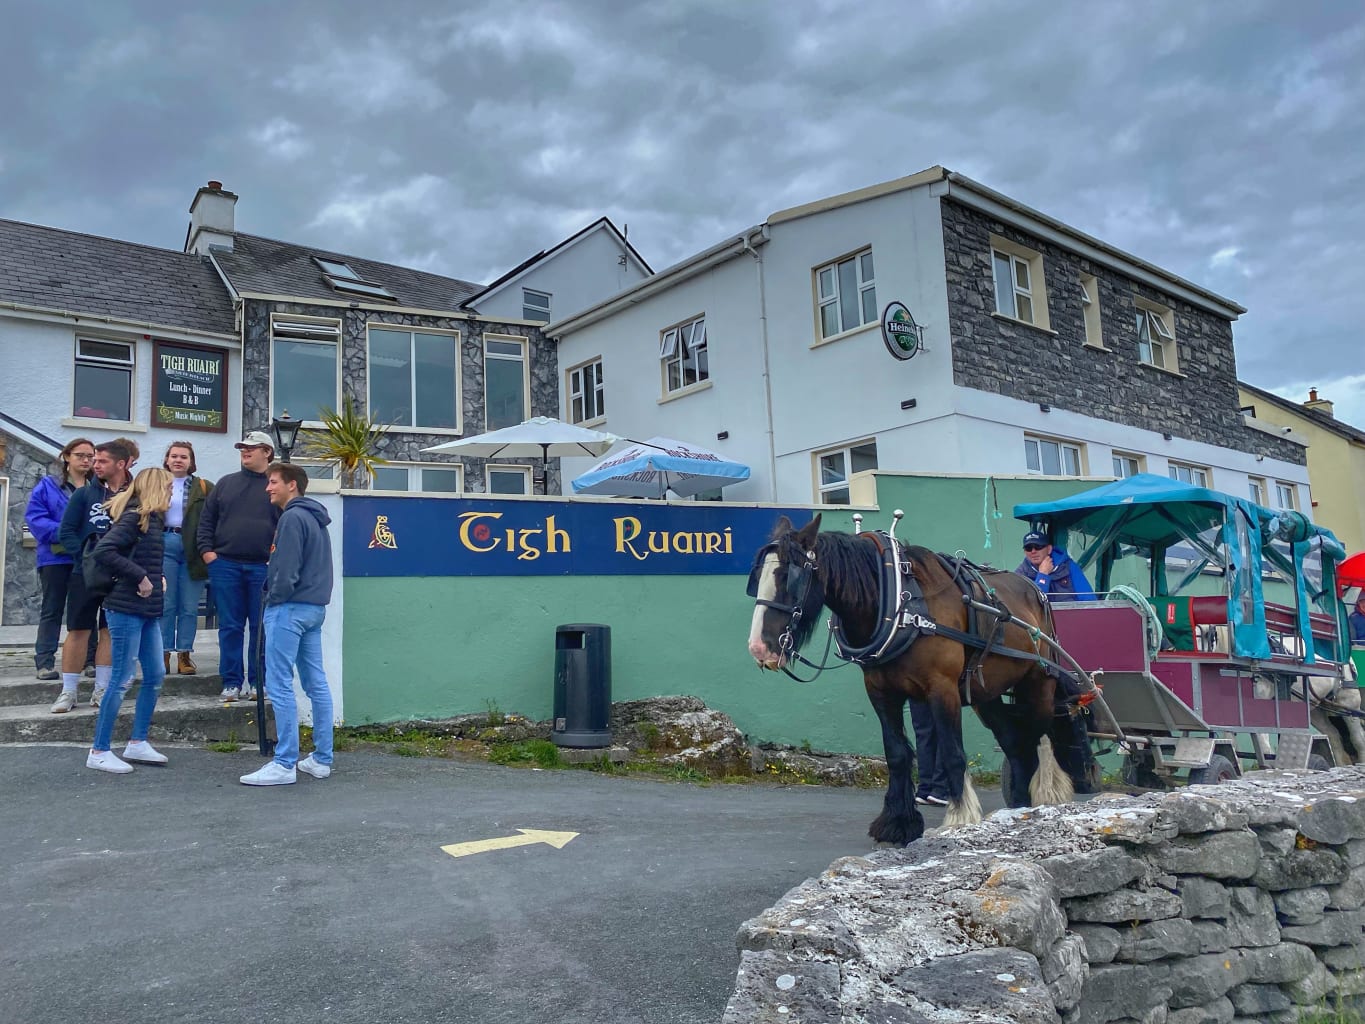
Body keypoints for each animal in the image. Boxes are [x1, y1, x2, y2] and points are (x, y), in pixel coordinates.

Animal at [748, 516, 1075, 846]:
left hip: (1038, 684)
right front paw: (897, 822)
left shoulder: (942, 689)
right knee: (1015, 745)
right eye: (756, 579)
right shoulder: (880, 692)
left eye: (788, 577)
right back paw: (1018, 806)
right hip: (987, 695)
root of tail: (1035, 590)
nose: (758, 648)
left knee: (1040, 740)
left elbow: (952, 753)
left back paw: (1042, 797)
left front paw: (960, 818)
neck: (901, 607)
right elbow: (897, 754)